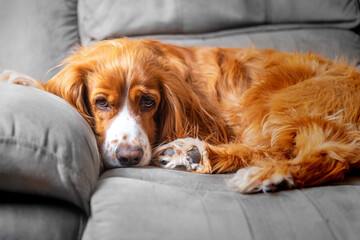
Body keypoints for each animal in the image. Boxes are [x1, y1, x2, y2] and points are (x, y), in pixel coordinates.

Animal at [2, 39, 360, 193]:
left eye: (148, 102)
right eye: (101, 102)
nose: (129, 157)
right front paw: (22, 80)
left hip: (276, 98)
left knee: (319, 155)